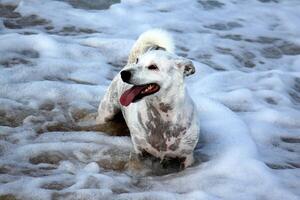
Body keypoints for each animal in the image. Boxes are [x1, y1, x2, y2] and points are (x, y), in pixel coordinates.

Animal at [96, 28, 199, 168]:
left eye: (153, 67)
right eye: (138, 61)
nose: (124, 73)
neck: (162, 116)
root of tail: (128, 63)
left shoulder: (187, 157)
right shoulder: (140, 151)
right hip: (106, 113)